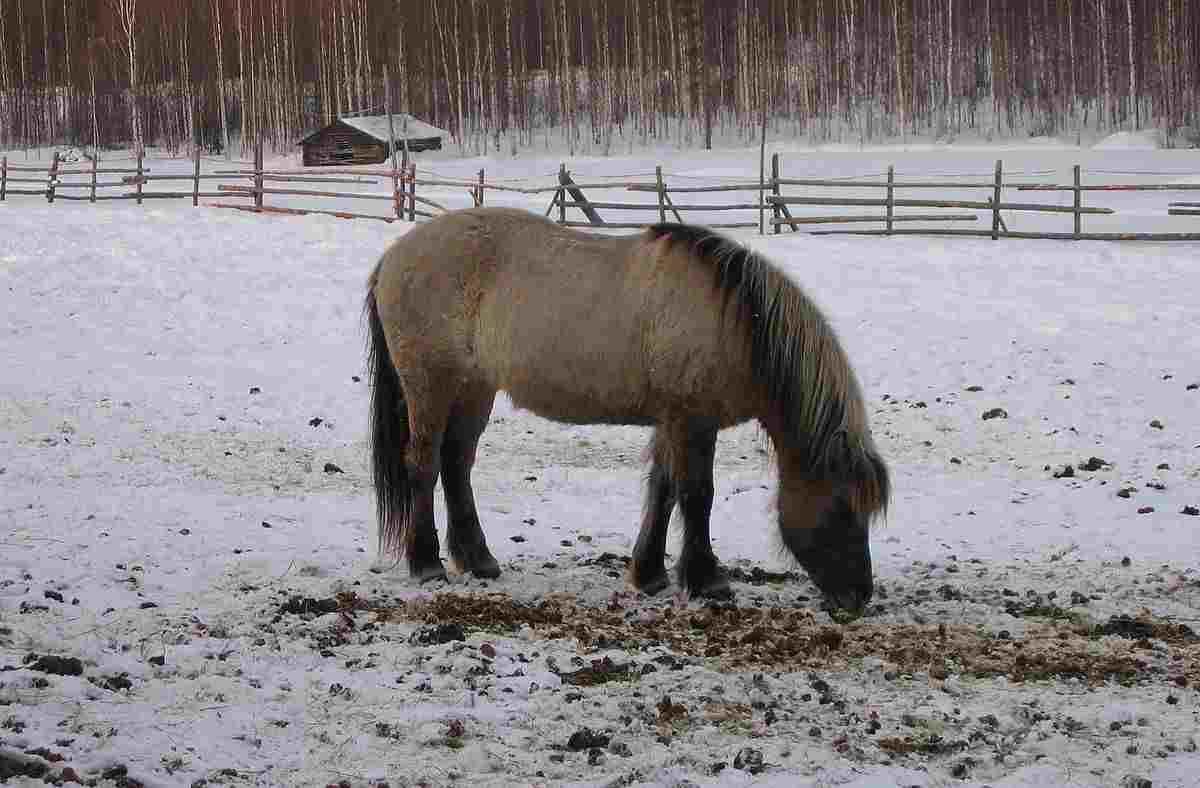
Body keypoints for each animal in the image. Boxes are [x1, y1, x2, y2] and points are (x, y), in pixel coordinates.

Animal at [364, 206, 892, 611]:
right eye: (842, 505)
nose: (859, 596)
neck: (737, 320)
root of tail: (392, 256)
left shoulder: (672, 420)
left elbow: (663, 490)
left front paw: (650, 573)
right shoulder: (693, 421)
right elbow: (697, 495)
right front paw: (706, 580)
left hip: (474, 389)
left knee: (457, 466)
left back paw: (478, 560)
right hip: (430, 387)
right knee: (424, 465)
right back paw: (427, 563)